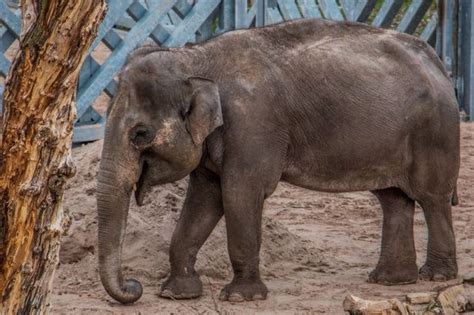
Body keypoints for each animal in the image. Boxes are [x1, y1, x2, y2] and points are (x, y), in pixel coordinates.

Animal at [96, 18, 460, 304]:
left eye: (140, 134)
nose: (134, 286)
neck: (195, 57)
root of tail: (436, 60)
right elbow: (204, 200)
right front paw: (175, 294)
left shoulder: (253, 124)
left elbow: (240, 193)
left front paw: (240, 297)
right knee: (393, 199)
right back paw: (390, 279)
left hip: (434, 133)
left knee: (432, 198)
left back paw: (435, 276)